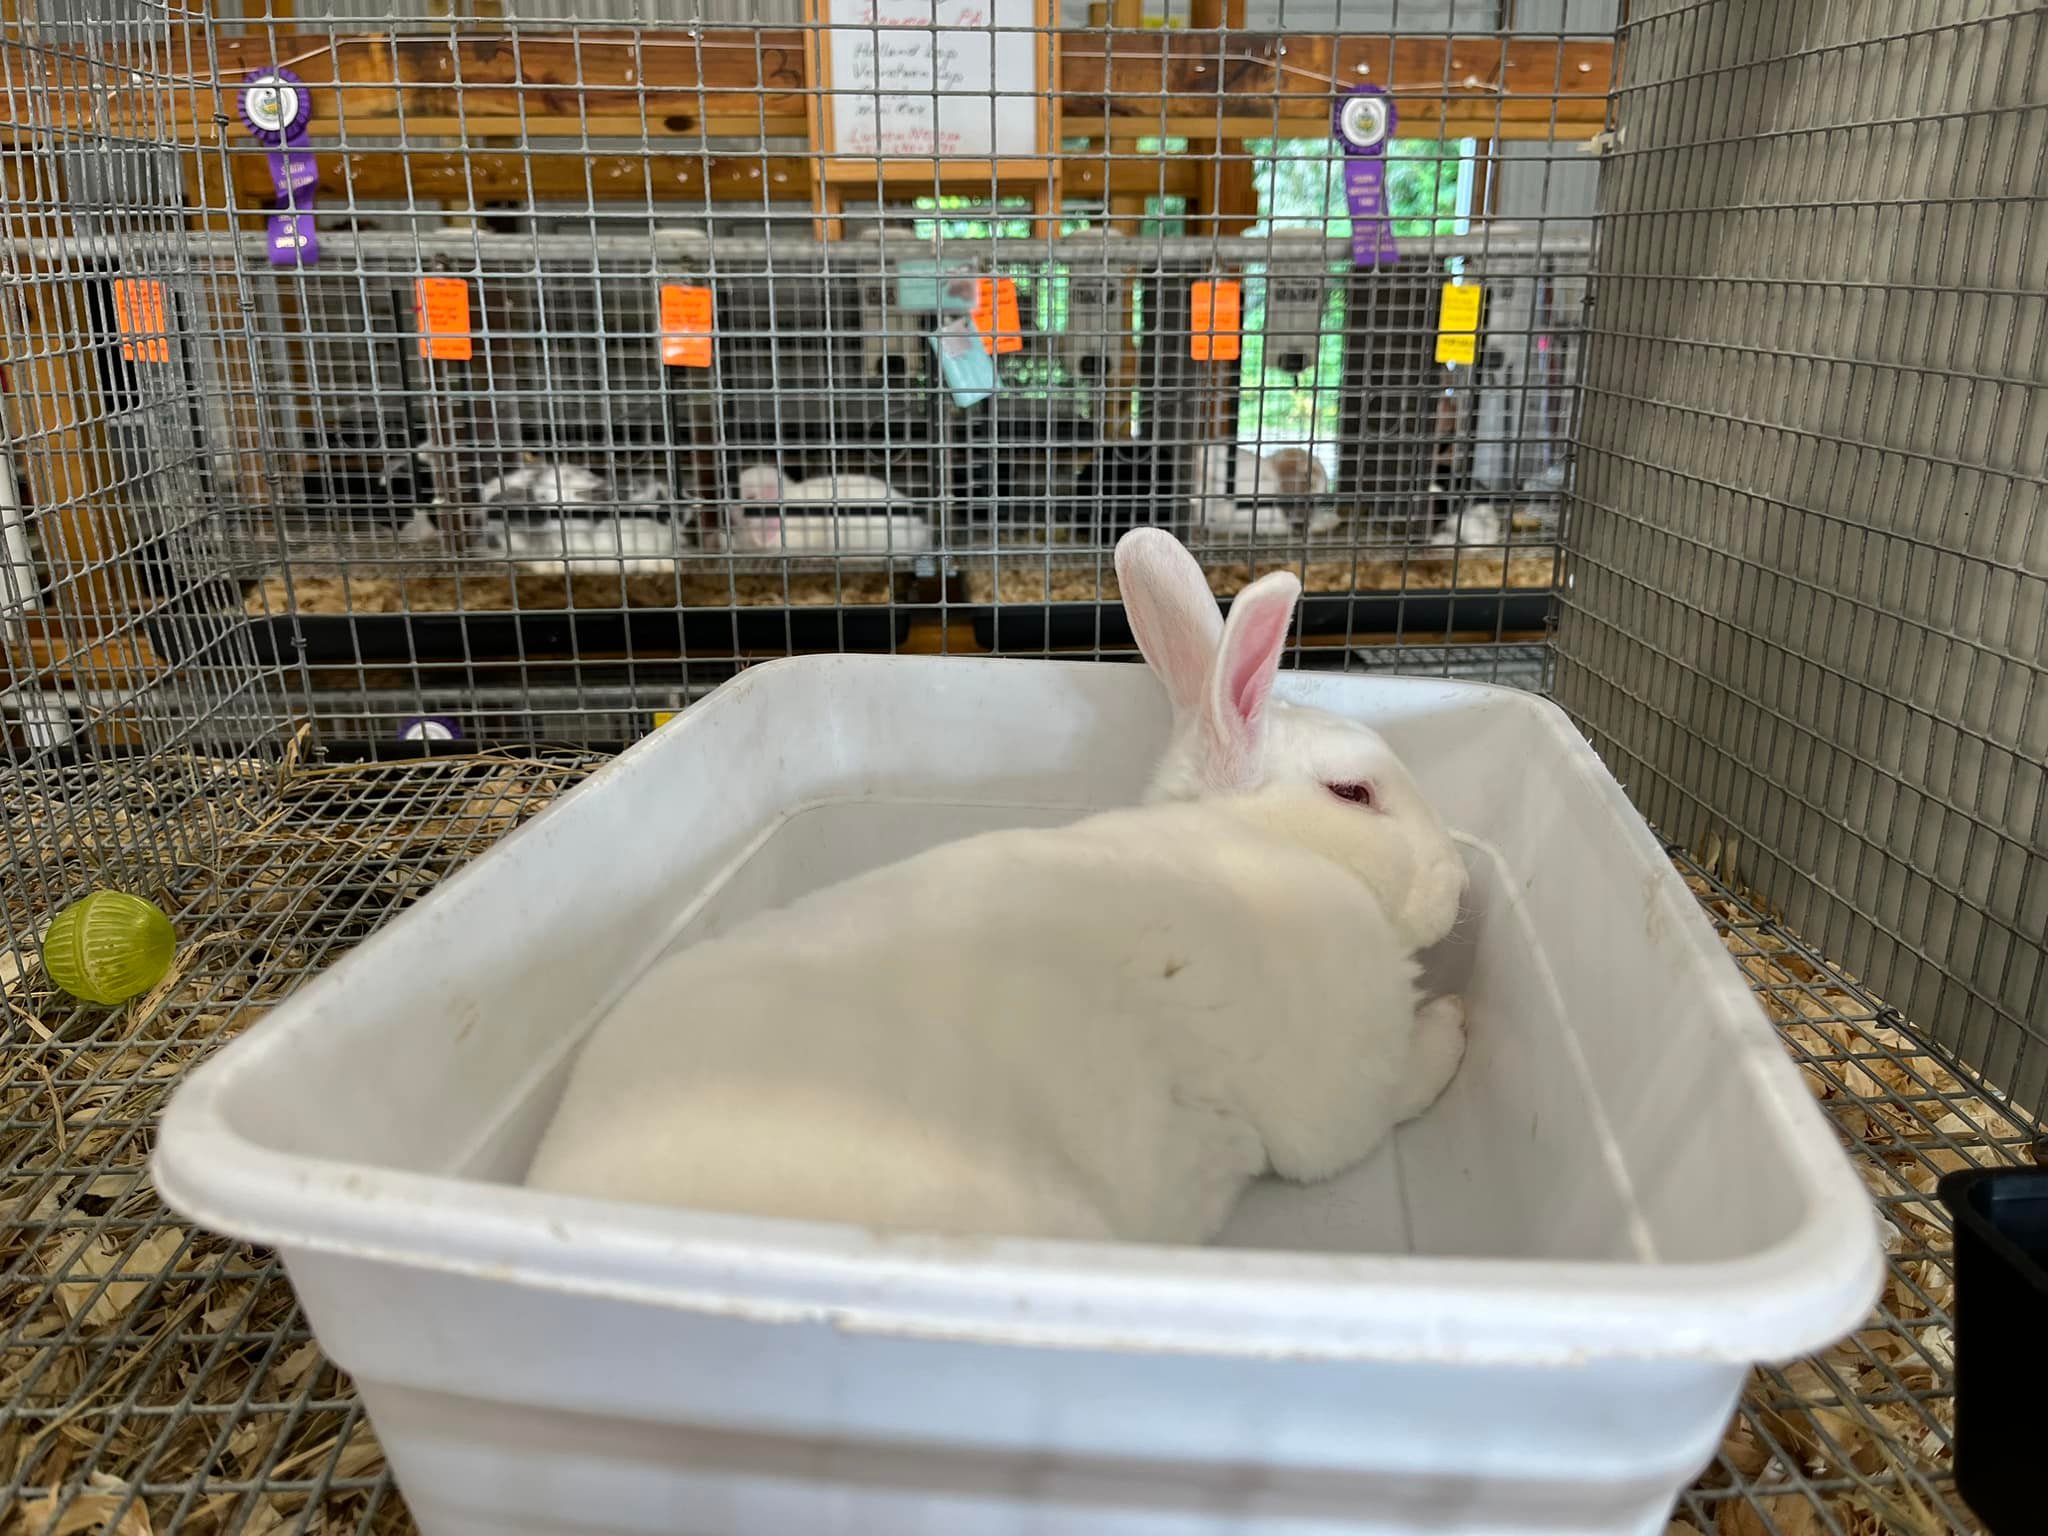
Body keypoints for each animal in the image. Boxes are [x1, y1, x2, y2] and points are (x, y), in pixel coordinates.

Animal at [524, 527, 1469, 1245]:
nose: (1461, 888)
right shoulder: (1338, 1094)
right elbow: (1394, 1093)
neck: (1258, 845)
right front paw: (1454, 1023)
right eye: (1354, 794)